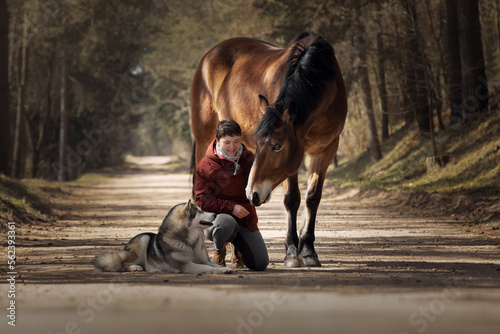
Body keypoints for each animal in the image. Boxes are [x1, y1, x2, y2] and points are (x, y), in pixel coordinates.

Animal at [94, 201, 232, 274]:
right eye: (199, 211)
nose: (215, 214)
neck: (189, 242)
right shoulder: (186, 265)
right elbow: (206, 268)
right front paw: (223, 271)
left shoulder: (205, 260)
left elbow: (214, 265)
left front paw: (226, 268)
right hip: (144, 239)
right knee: (122, 263)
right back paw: (135, 267)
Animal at [191, 30, 348, 266]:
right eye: (261, 144)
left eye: (277, 146)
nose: (253, 194)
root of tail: (208, 57)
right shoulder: (294, 161)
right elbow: (292, 199)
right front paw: (292, 252)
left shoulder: (326, 150)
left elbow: (312, 198)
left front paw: (308, 250)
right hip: (204, 139)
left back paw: (237, 256)